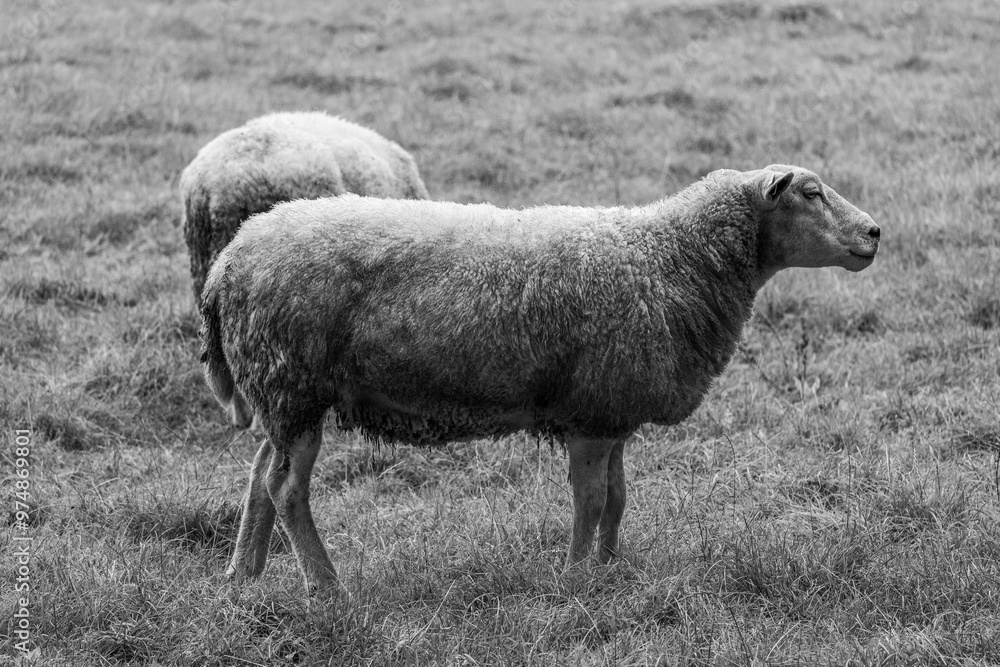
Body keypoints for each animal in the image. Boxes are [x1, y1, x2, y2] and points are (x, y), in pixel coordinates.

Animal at [200, 164, 880, 604]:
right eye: (811, 193)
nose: (875, 233)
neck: (669, 260)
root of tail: (229, 261)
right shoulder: (591, 416)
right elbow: (592, 499)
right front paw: (578, 577)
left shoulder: (610, 411)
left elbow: (618, 497)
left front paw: (610, 567)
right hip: (293, 382)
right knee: (287, 488)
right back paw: (326, 586)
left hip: (283, 394)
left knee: (260, 475)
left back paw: (243, 576)